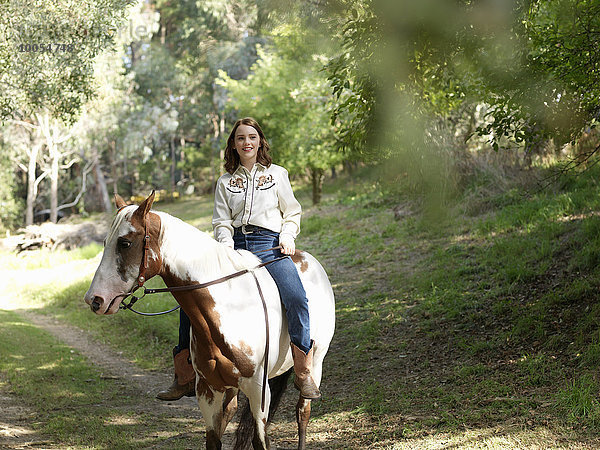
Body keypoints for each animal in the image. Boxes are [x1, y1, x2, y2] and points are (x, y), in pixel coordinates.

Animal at [83, 192, 338, 448]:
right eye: (106, 243)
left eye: (125, 243)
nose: (94, 300)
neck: (229, 307)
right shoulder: (208, 390)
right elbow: (214, 439)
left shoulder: (258, 390)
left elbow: (260, 440)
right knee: (233, 408)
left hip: (316, 363)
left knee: (302, 412)